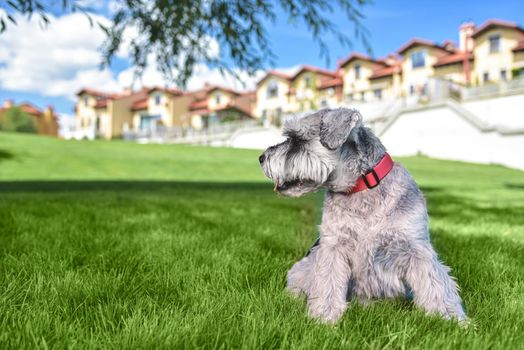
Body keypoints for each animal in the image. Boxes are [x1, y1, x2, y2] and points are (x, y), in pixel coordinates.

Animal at [258, 108, 466, 324]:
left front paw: (450, 318)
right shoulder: (333, 246)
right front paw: (324, 316)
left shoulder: (415, 247)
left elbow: (435, 283)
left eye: (297, 140)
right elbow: (327, 282)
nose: (261, 158)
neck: (363, 188)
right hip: (304, 266)